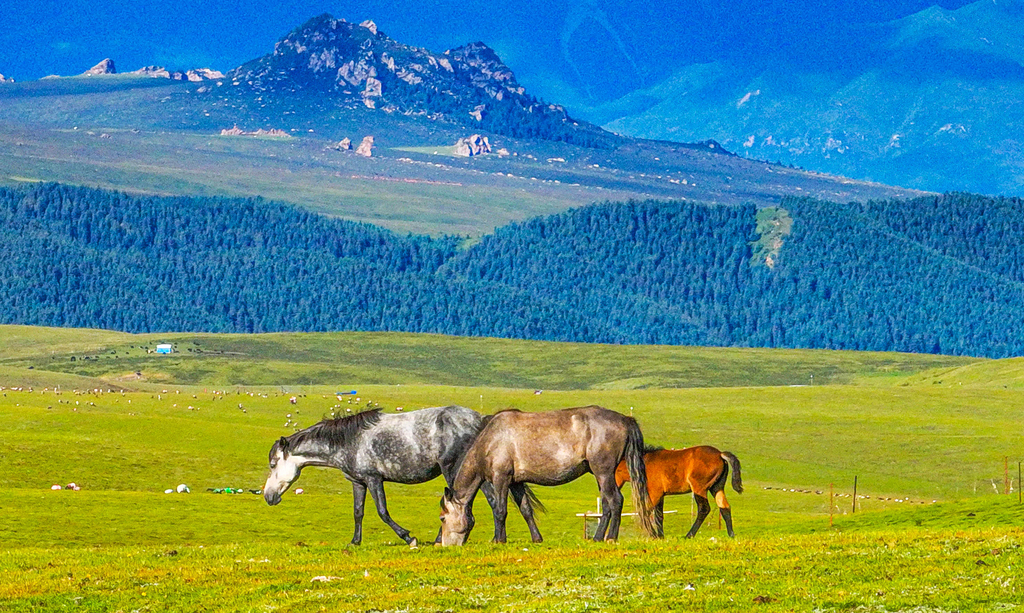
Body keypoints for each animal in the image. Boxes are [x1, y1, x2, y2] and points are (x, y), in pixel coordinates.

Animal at [263, 405, 542, 547]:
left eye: (273, 463)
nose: (268, 497)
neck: (348, 441)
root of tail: (480, 419)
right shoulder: (358, 481)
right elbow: (358, 512)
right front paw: (354, 542)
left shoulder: (374, 479)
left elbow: (382, 512)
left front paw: (409, 537)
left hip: (455, 470)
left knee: (484, 502)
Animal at [439, 405, 659, 546]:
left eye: (442, 518)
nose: (445, 545)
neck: (491, 439)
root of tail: (625, 419)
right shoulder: (516, 483)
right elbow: (526, 510)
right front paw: (537, 538)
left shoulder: (501, 478)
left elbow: (500, 510)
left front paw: (499, 540)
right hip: (602, 475)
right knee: (606, 504)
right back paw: (598, 537)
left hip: (603, 472)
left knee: (615, 501)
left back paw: (609, 537)